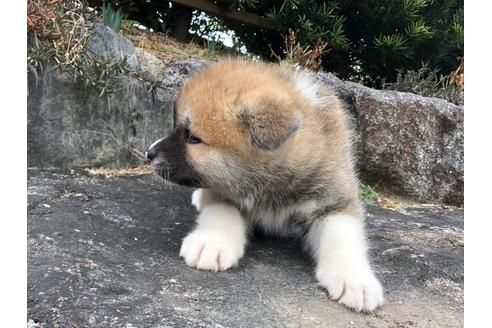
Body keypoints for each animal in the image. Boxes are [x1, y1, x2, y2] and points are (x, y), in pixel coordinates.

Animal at [145, 59, 384, 312]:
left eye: (192, 138)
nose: (149, 154)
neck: (270, 185)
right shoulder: (223, 188)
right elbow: (221, 211)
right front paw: (211, 242)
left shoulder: (334, 198)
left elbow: (342, 235)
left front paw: (355, 280)